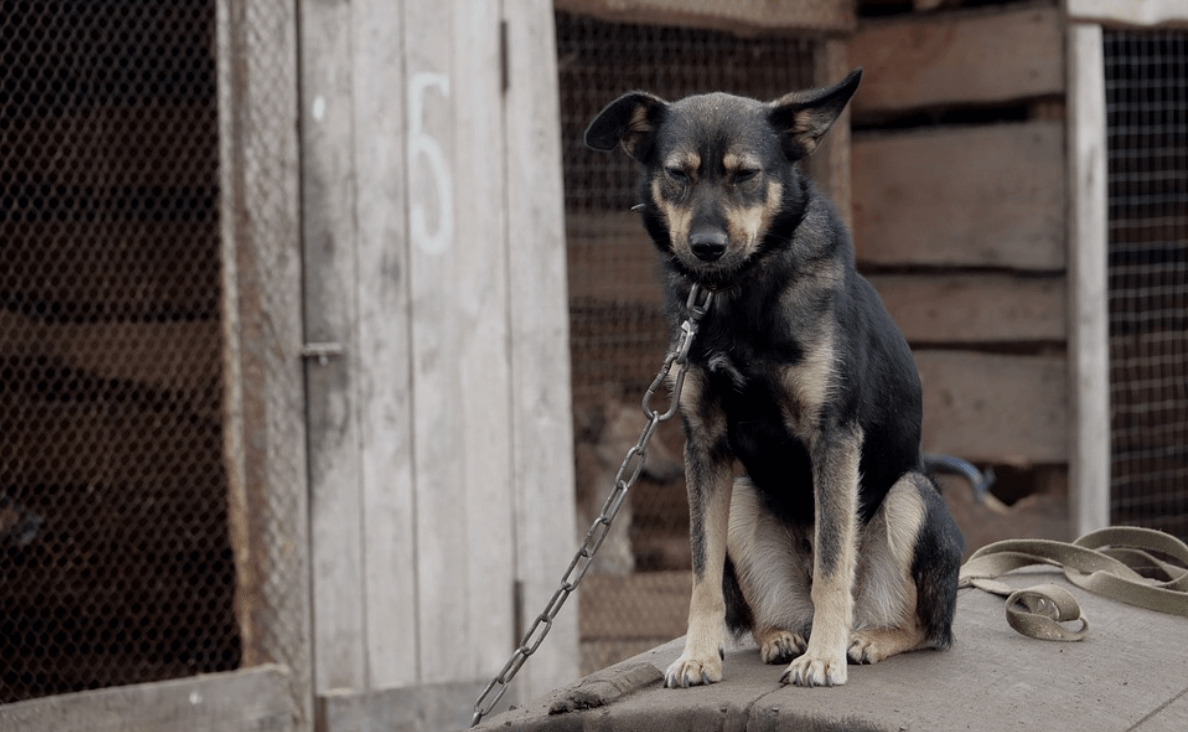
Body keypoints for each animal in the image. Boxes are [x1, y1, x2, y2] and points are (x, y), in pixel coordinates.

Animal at [584, 71, 964, 689]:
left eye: (746, 174)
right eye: (677, 174)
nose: (706, 247)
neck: (736, 297)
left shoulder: (833, 436)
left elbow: (832, 564)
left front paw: (826, 659)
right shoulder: (705, 447)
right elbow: (701, 573)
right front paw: (697, 654)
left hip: (913, 496)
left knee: (925, 627)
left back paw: (863, 640)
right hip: (741, 499)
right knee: (768, 613)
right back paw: (783, 636)